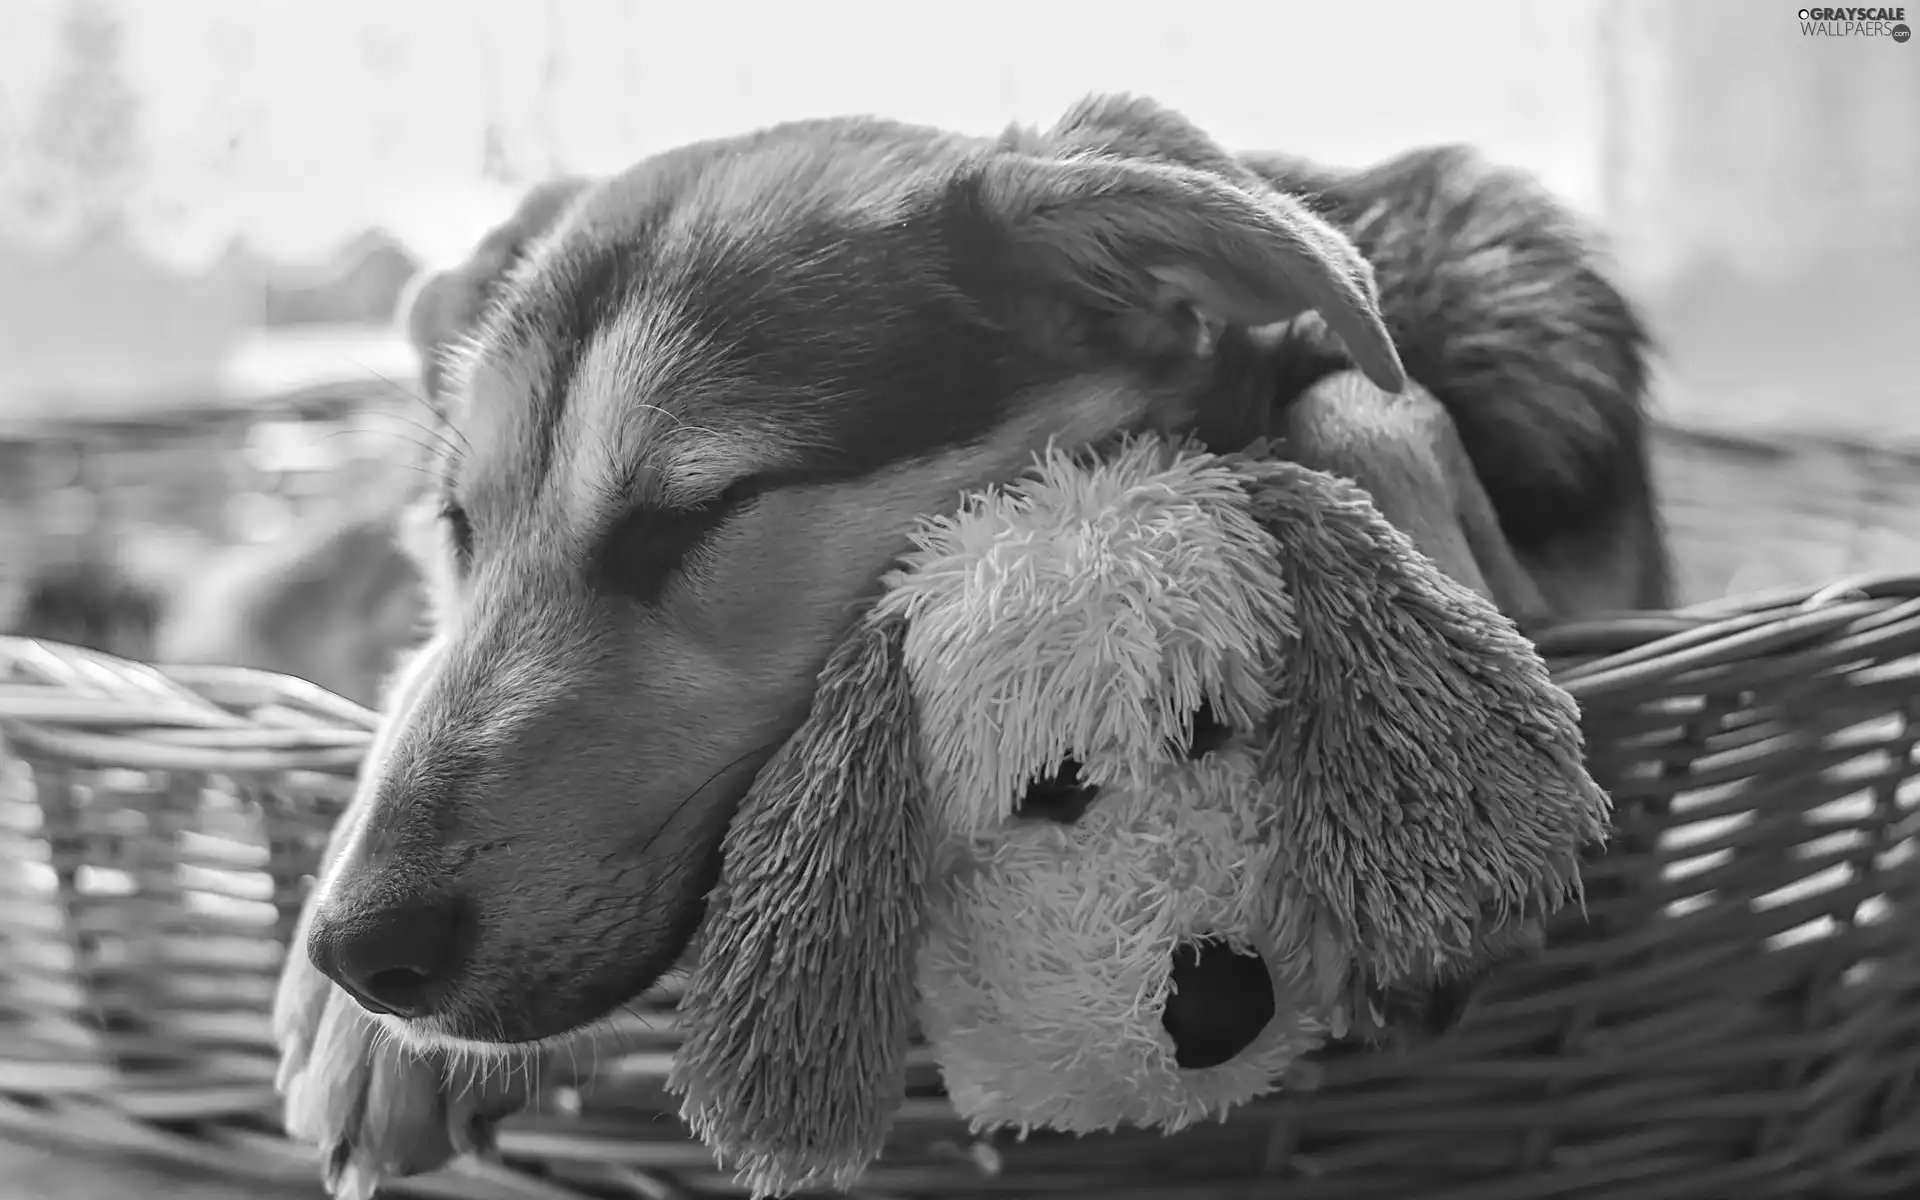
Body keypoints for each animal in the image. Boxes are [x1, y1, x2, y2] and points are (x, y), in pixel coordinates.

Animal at [280, 98, 1666, 1075]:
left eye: (697, 516)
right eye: (461, 527)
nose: (358, 950)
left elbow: (1366, 401)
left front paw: (1445, 792)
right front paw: (353, 1044)